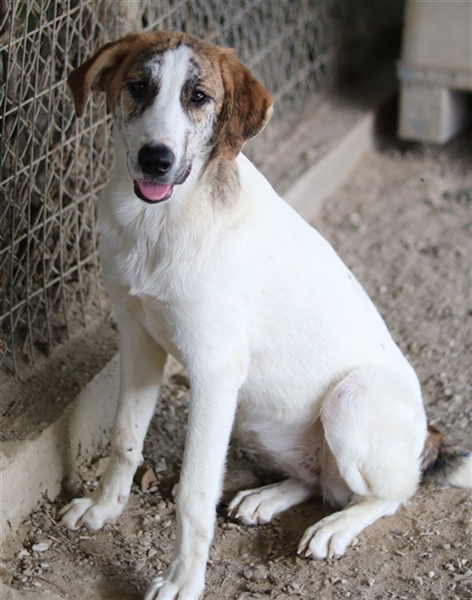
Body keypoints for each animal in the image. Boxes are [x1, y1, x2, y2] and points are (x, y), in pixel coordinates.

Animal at [60, 31, 472, 600]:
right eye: (138, 87)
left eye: (199, 97)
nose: (155, 159)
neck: (158, 224)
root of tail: (428, 436)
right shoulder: (138, 341)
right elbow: (124, 439)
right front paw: (103, 510)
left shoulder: (213, 372)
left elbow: (193, 493)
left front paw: (182, 581)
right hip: (253, 415)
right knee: (318, 480)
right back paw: (267, 497)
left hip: (349, 397)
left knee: (388, 494)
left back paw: (334, 528)